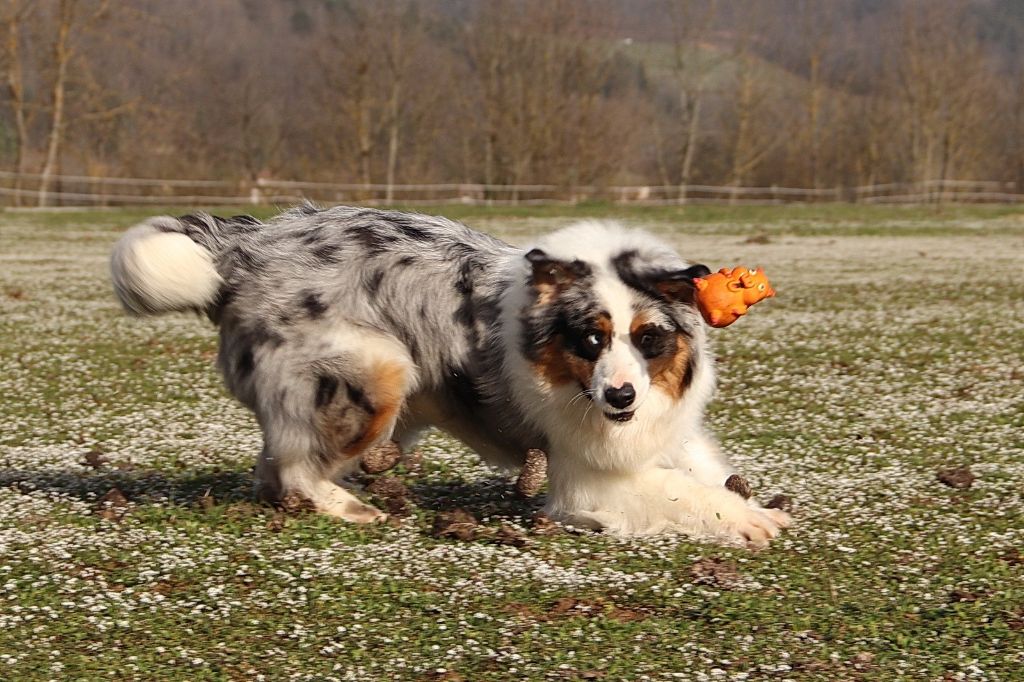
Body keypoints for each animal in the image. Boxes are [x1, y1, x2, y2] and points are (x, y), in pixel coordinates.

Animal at [110, 204, 790, 544]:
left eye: (649, 339)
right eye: (590, 339)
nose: (619, 396)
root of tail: (243, 247)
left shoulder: (669, 432)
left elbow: (702, 472)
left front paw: (746, 500)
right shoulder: (583, 480)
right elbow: (678, 492)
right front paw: (749, 520)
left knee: (275, 460)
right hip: (379, 367)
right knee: (297, 465)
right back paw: (353, 508)